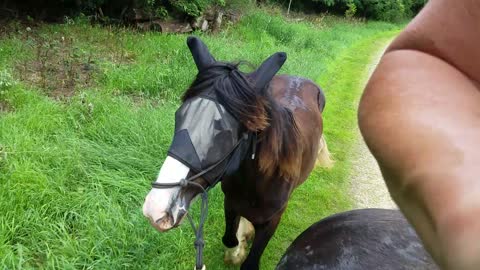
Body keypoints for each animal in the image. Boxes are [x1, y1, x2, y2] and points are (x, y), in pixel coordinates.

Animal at [141, 36, 332, 270]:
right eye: (179, 116)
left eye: (225, 131)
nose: (156, 208)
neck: (257, 182)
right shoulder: (231, 204)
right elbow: (229, 238)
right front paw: (238, 246)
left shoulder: (272, 221)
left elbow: (250, 262)